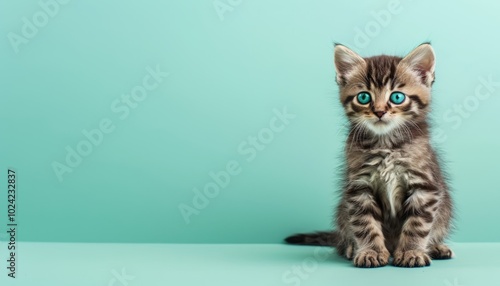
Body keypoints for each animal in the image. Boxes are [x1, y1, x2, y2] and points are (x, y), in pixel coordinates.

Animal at [286, 43, 454, 268]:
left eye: (397, 97)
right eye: (364, 97)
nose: (379, 112)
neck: (386, 144)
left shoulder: (424, 185)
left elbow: (417, 224)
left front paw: (411, 252)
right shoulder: (359, 187)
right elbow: (364, 224)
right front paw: (370, 252)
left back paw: (436, 247)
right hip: (342, 212)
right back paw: (350, 247)